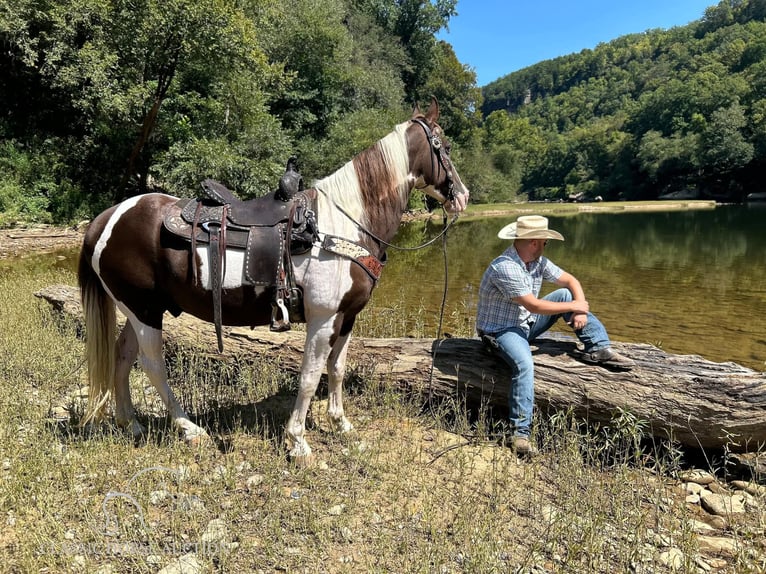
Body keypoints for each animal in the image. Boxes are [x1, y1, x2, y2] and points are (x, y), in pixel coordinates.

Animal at [81, 97, 472, 462]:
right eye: (445, 146)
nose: (464, 196)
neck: (345, 223)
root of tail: (106, 218)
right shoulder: (323, 318)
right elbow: (311, 375)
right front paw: (297, 442)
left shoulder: (347, 317)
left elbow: (337, 369)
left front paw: (341, 425)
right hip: (144, 311)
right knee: (153, 366)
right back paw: (190, 429)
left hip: (141, 309)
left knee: (122, 356)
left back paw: (130, 423)